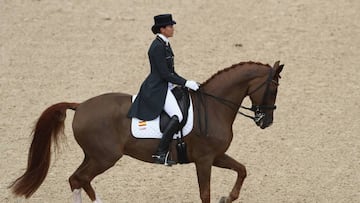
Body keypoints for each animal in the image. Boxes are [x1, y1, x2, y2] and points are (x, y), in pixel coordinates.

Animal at [9, 60, 284, 203]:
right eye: (273, 88)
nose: (266, 121)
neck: (214, 106)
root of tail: (80, 106)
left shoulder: (215, 156)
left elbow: (242, 170)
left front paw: (228, 197)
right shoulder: (205, 160)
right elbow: (205, 193)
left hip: (93, 156)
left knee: (76, 179)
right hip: (104, 157)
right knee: (81, 179)